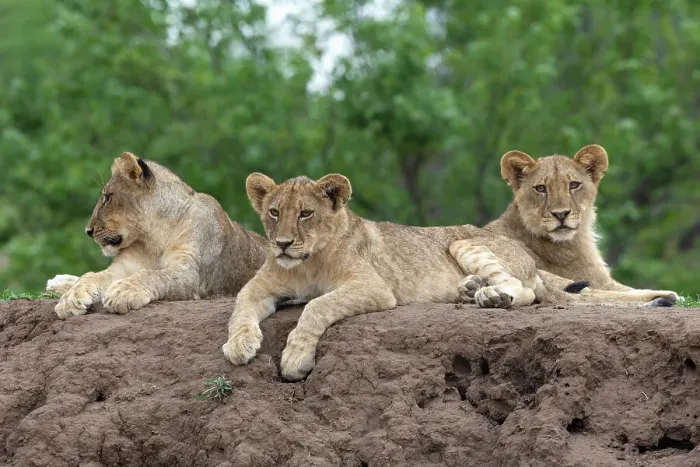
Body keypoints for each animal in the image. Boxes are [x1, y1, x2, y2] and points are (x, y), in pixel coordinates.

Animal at [51, 152, 267, 319]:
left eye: (107, 197)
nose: (88, 231)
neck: (154, 237)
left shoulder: (190, 275)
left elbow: (152, 275)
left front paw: (122, 291)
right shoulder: (123, 267)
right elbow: (91, 276)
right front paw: (70, 299)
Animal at [221, 172, 676, 382]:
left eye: (305, 213)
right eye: (274, 212)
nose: (282, 244)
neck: (306, 262)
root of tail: (525, 253)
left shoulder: (373, 287)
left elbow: (317, 304)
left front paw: (295, 357)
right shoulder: (260, 285)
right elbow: (239, 307)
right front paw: (239, 345)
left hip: (465, 242)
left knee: (524, 291)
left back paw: (489, 296)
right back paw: (471, 290)